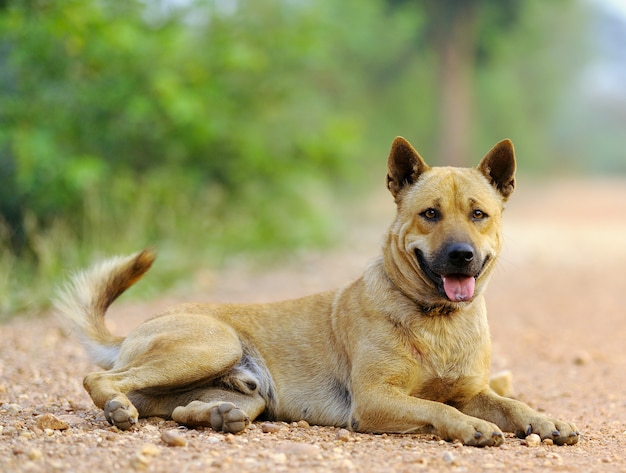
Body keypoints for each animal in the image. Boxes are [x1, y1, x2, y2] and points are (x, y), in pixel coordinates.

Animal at [56, 137, 576, 446]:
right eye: (430, 214)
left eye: (478, 214)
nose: (461, 255)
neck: (436, 319)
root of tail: (132, 333)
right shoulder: (375, 399)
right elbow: (436, 408)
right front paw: (471, 427)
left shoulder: (473, 390)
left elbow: (510, 403)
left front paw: (545, 420)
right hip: (212, 344)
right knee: (100, 380)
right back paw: (118, 408)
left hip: (245, 392)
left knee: (180, 408)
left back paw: (218, 416)